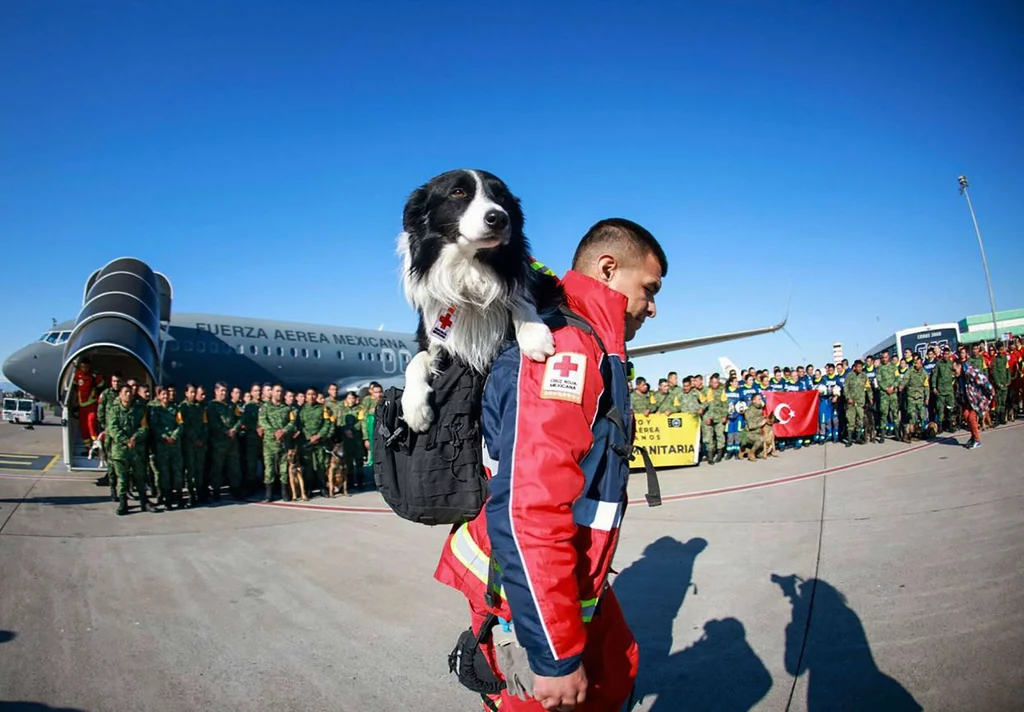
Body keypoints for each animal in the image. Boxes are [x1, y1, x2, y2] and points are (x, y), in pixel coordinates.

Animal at [399, 170, 561, 432]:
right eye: (458, 192)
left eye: (502, 197)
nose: (500, 218)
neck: (470, 268)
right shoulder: (430, 330)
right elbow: (416, 359)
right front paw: (415, 407)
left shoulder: (542, 283)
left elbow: (519, 296)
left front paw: (534, 334)